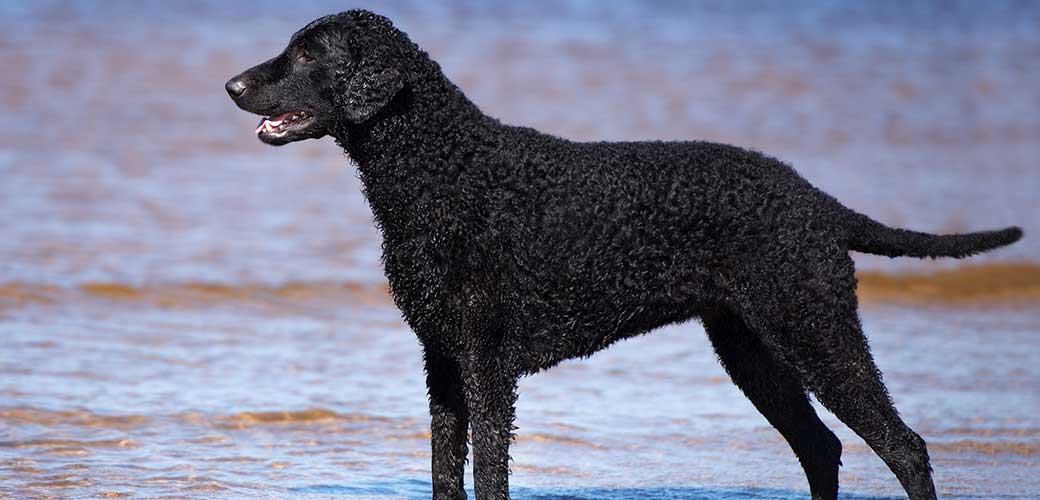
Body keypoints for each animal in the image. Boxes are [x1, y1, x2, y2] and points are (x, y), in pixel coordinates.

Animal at [227, 10, 1023, 498]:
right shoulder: (443, 361)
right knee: (822, 448)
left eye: (308, 52)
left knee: (904, 446)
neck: (447, 169)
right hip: (752, 347)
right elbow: (445, 475)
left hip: (814, 326)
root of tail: (815, 200)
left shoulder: (486, 364)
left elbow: (489, 474)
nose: (230, 83)